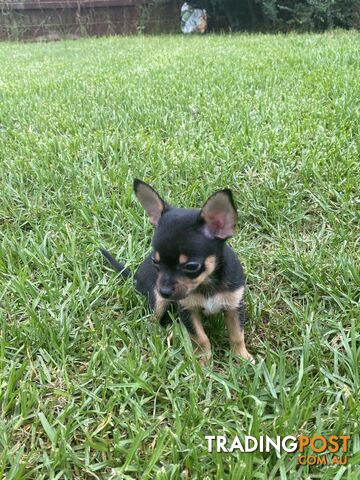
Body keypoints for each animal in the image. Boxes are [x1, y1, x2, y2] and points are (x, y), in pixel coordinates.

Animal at [100, 179, 253, 364]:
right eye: (155, 261)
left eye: (191, 266)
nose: (164, 291)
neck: (206, 283)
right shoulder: (187, 310)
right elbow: (200, 338)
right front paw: (202, 361)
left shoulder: (234, 307)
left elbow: (237, 335)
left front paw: (242, 357)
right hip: (157, 301)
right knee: (152, 319)